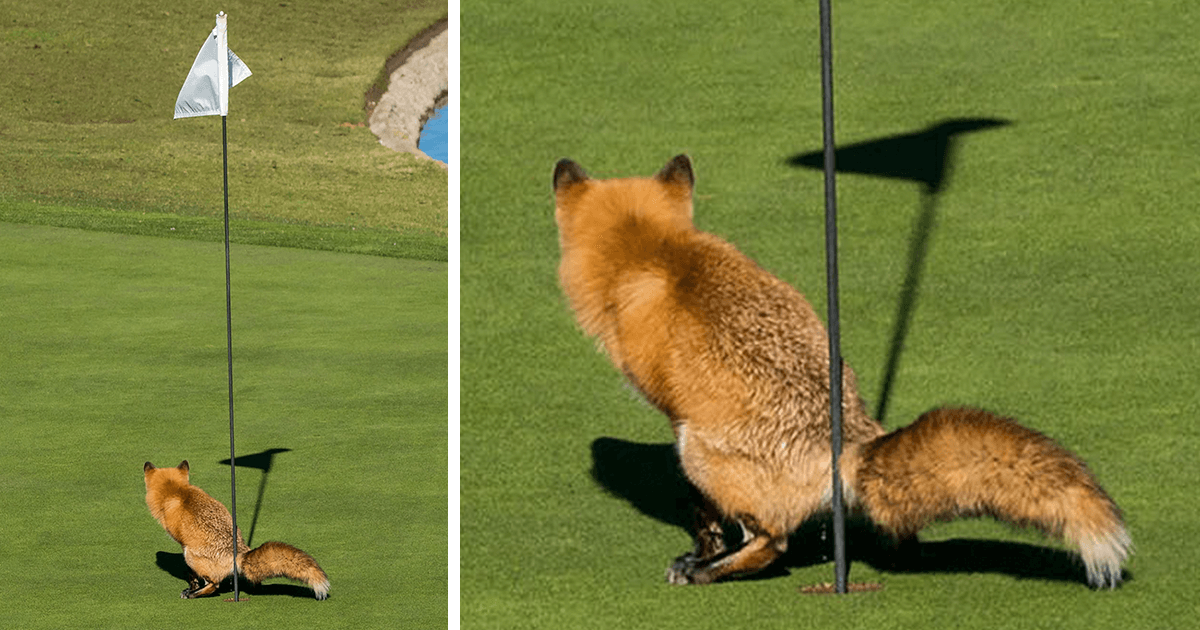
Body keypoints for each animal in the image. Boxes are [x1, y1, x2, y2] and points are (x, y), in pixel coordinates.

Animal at [144, 456, 328, 600]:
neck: (177, 491)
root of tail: (239, 553)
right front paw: (192, 585)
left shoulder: (184, 546)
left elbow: (191, 574)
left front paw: (191, 588)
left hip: (191, 556)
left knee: (214, 585)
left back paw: (195, 594)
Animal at [552, 154, 1132, 588]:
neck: (655, 251)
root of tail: (849, 446)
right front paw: (703, 543)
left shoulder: (677, 421)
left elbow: (703, 510)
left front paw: (701, 551)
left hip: (700, 451)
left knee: (773, 543)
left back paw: (710, 572)